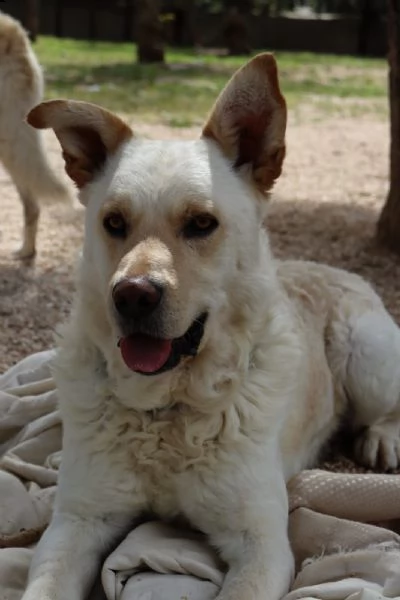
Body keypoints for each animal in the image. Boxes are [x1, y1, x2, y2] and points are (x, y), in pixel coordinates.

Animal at [23, 52, 400, 600]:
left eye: (201, 224)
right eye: (113, 223)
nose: (132, 295)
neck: (167, 412)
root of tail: (330, 268)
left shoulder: (262, 543)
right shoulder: (77, 521)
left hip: (367, 357)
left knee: (385, 408)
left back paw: (382, 438)